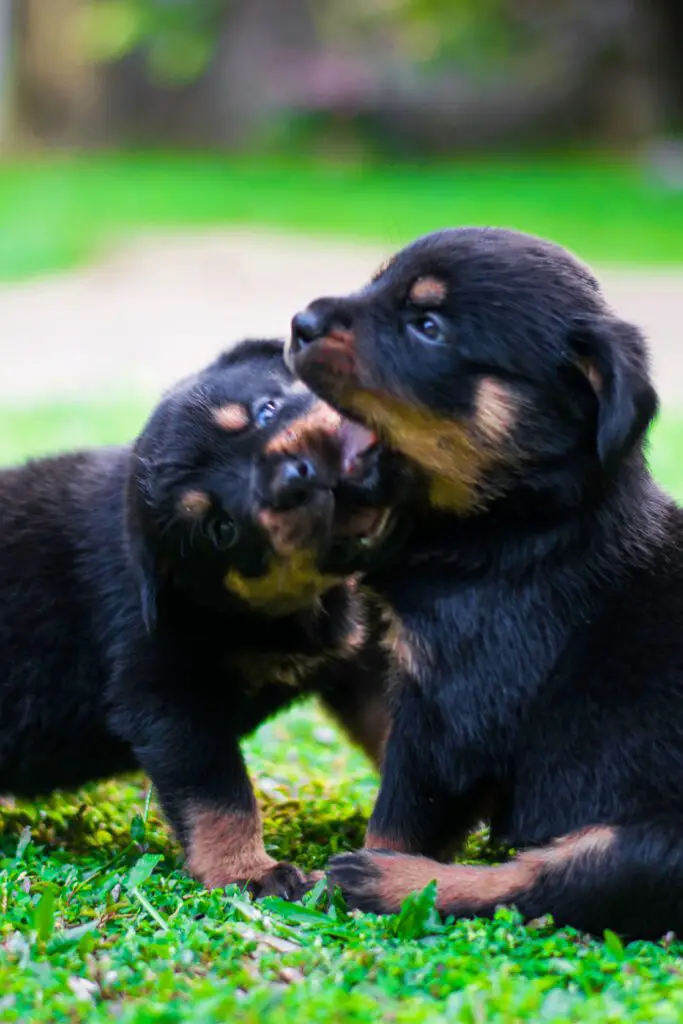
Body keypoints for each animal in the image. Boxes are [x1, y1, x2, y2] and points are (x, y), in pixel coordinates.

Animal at [0, 337, 405, 897]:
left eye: (267, 410)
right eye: (221, 528)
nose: (294, 479)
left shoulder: (359, 658)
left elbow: (390, 725)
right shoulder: (165, 696)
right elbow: (218, 796)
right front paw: (250, 873)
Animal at [286, 228, 683, 937]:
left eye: (428, 326)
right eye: (377, 283)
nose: (299, 323)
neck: (513, 522)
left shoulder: (452, 711)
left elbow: (401, 811)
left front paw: (362, 867)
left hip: (657, 841)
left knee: (549, 884)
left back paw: (376, 880)